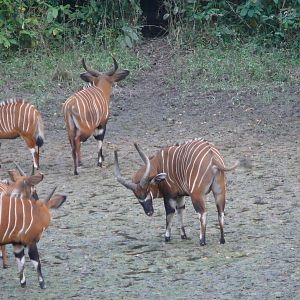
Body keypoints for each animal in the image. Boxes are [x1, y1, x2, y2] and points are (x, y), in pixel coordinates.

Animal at [113, 139, 250, 245]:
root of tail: (213, 157)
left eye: (147, 190)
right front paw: (183, 235)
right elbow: (180, 212)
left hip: (197, 195)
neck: (158, 165)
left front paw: (167, 237)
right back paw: (222, 240)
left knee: (203, 213)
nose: (149, 212)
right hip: (219, 193)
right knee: (220, 212)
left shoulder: (170, 196)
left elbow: (169, 213)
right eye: (136, 196)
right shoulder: (180, 196)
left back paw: (202, 241)